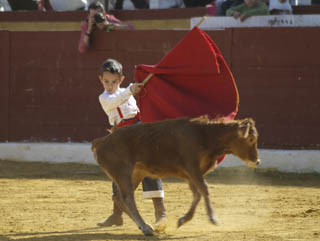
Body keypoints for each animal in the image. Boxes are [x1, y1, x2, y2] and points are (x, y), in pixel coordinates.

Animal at [90, 115, 260, 235]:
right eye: (251, 139)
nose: (257, 161)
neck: (204, 136)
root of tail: (102, 141)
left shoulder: (192, 174)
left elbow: (197, 193)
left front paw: (183, 220)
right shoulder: (192, 168)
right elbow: (204, 189)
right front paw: (213, 218)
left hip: (136, 173)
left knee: (118, 197)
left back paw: (145, 225)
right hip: (123, 172)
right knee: (127, 198)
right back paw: (145, 227)